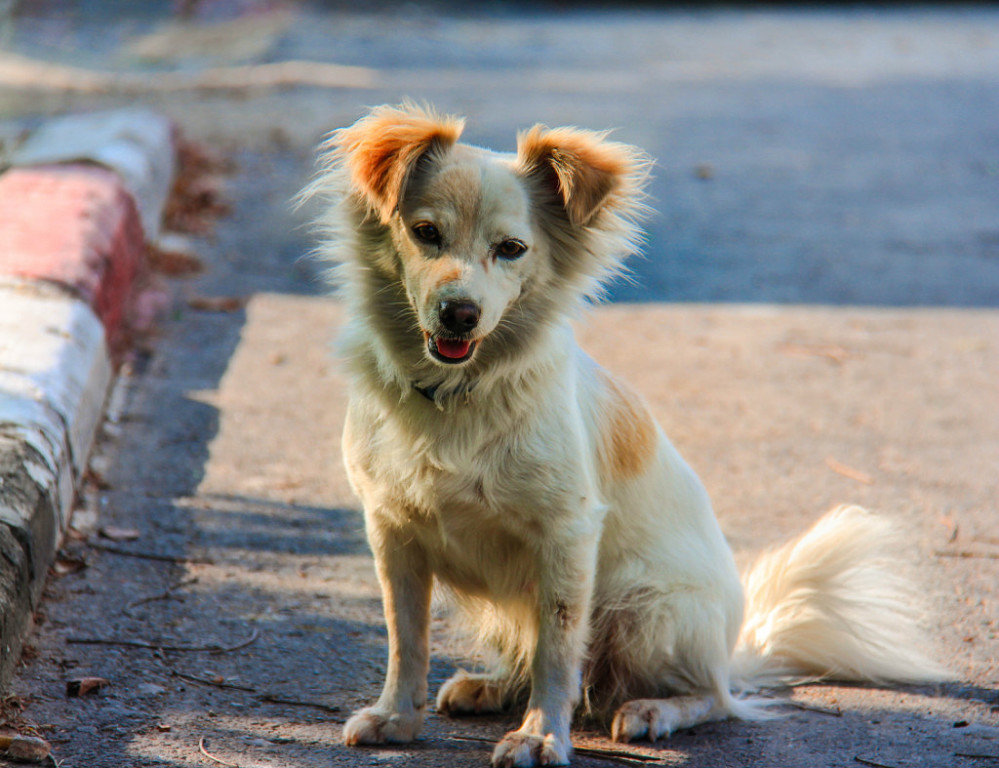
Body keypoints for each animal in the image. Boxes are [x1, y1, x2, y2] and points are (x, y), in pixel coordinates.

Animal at [306, 103, 952, 768]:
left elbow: (558, 653)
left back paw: (654, 710)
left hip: (645, 612)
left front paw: (541, 735)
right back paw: (493, 687)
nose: (459, 313)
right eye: (426, 233)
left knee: (714, 697)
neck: (458, 393)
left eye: (511, 249)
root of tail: (732, 648)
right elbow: (406, 639)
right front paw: (397, 718)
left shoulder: (566, 537)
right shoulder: (393, 534)